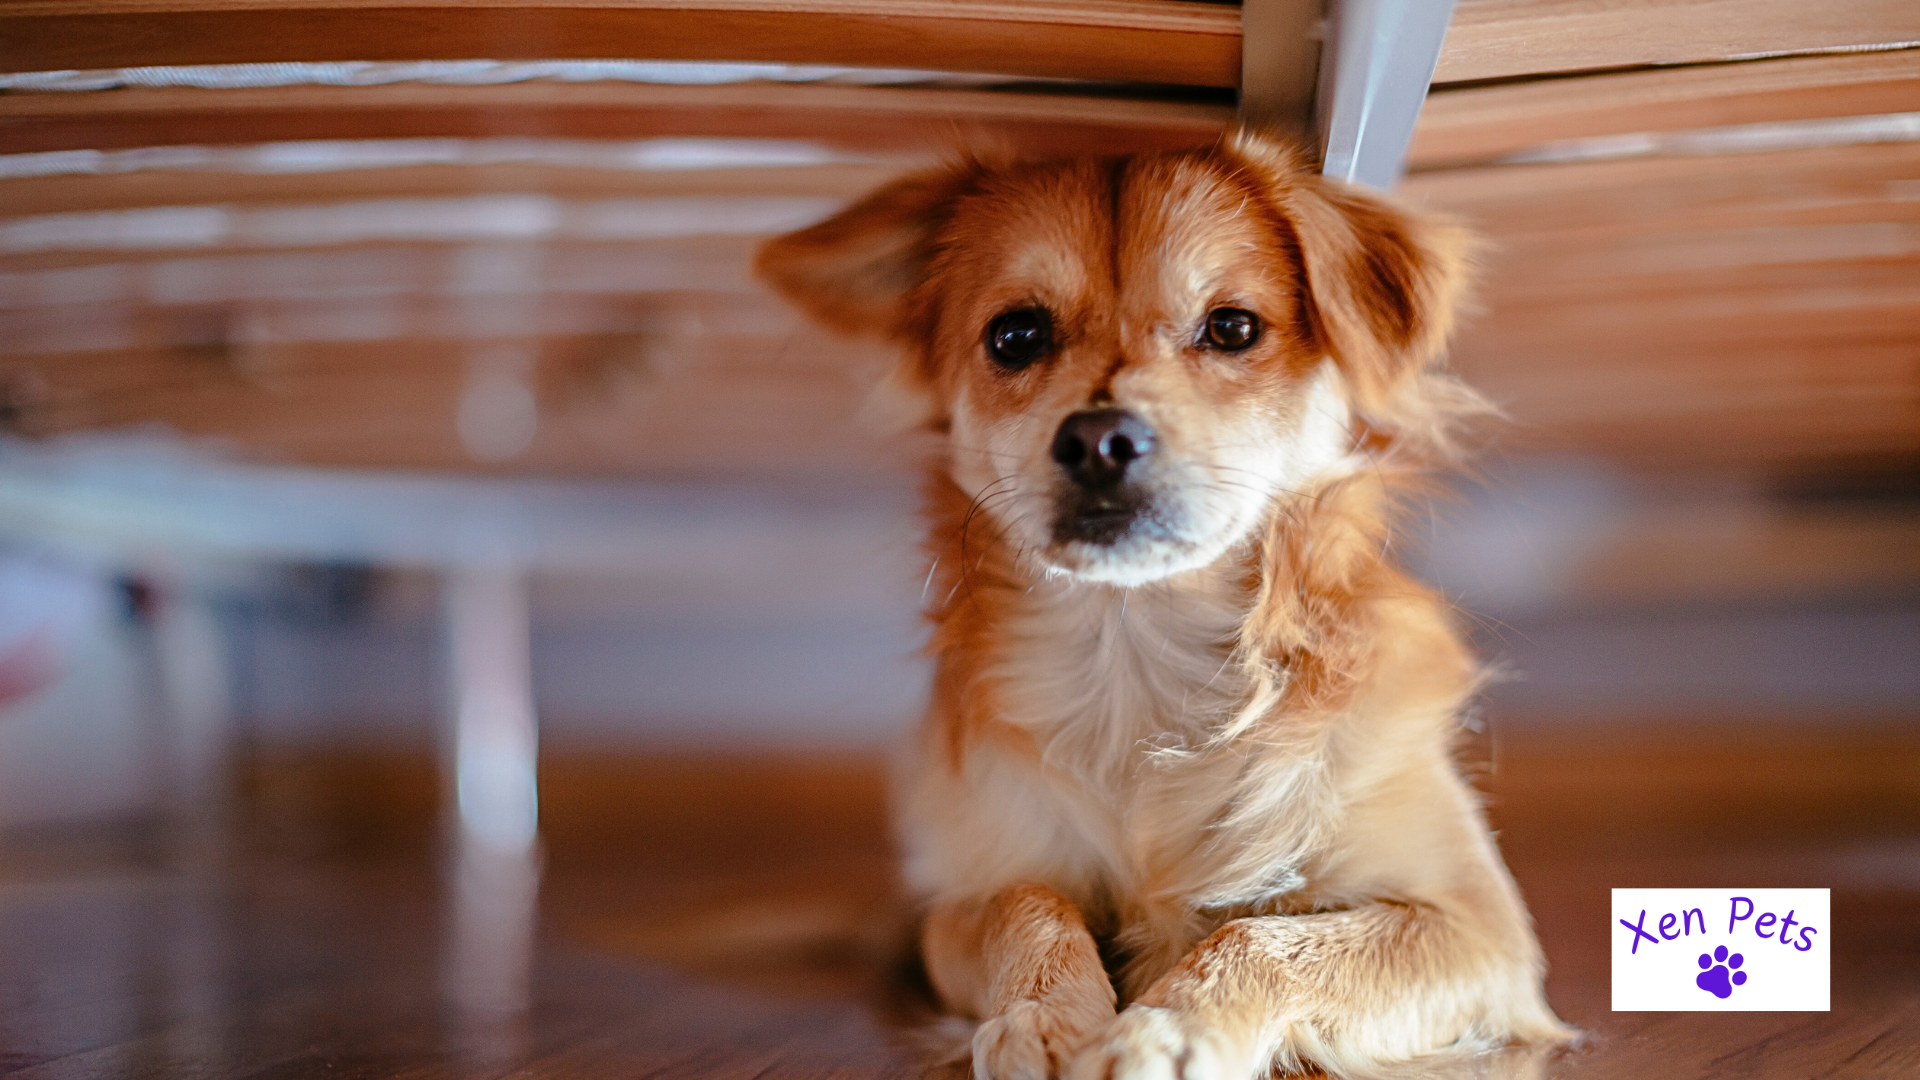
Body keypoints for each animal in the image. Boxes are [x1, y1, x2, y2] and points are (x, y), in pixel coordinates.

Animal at [756, 130, 1566, 1068]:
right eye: (1015, 335)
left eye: (1233, 328)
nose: (1100, 438)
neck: (1137, 649)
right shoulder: (960, 905)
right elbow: (1024, 906)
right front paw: (1047, 1015)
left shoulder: (1480, 929)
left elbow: (1262, 937)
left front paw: (1169, 1028)